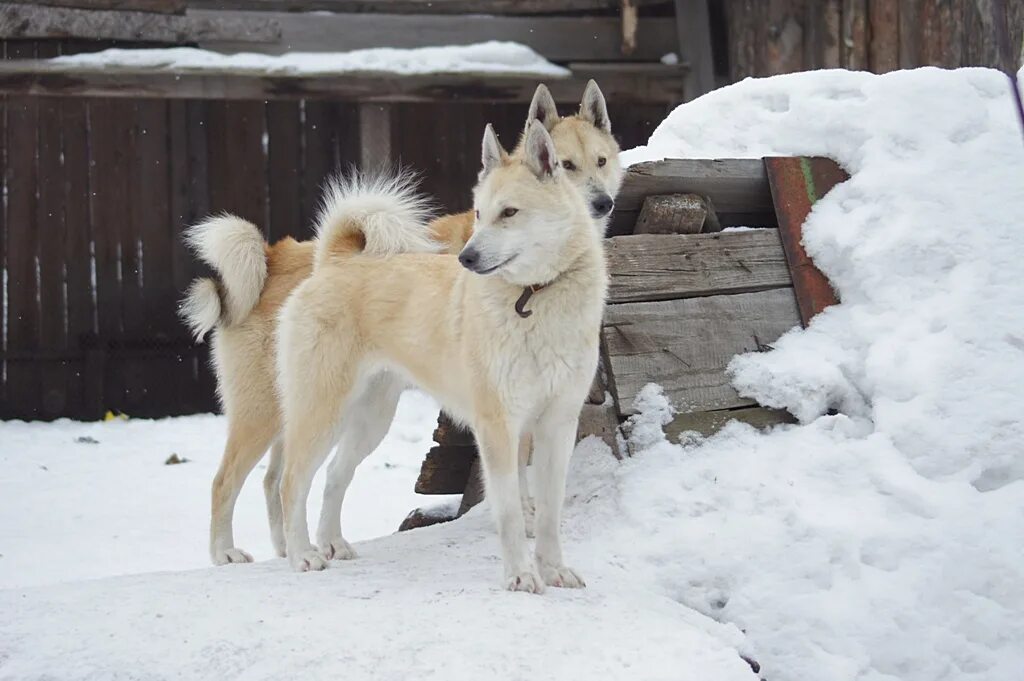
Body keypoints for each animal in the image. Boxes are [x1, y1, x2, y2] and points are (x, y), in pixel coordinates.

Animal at [276, 122, 602, 589]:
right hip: (322, 410)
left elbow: (550, 513)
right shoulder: (497, 427)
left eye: (509, 212)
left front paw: (554, 570)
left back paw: (333, 544)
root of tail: (333, 262)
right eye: (479, 214)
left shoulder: (558, 424)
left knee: (335, 475)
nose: (466, 257)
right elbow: (509, 512)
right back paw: (303, 555)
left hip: (371, 419)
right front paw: (521, 577)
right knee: (291, 483)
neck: (534, 295)